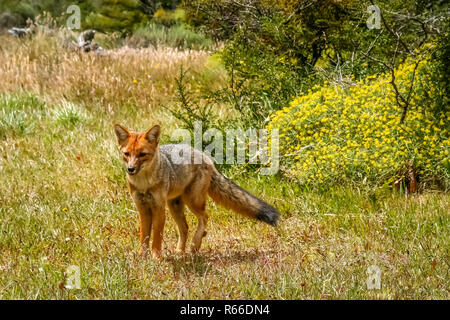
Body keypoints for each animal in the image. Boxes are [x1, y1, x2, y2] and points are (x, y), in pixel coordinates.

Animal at [114, 123, 280, 260]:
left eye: (142, 155)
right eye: (127, 154)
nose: (130, 169)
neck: (144, 184)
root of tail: (205, 156)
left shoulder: (159, 208)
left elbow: (156, 238)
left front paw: (156, 258)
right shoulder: (142, 209)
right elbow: (144, 237)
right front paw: (141, 258)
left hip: (192, 201)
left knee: (204, 217)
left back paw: (195, 245)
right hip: (175, 206)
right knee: (185, 228)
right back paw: (180, 252)